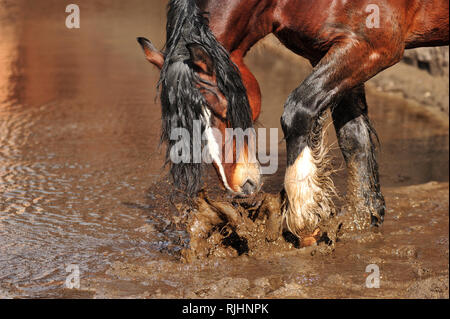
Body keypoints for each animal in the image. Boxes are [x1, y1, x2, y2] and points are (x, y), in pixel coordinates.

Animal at [138, 0, 450, 240]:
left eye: (221, 108)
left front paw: (306, 218)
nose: (241, 185)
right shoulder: (335, 52)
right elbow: (355, 140)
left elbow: (298, 109)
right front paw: (362, 225)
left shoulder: (373, 47)